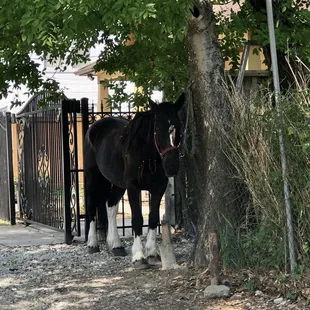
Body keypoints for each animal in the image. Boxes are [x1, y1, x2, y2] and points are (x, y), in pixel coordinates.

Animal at [83, 92, 185, 268]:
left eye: (178, 125)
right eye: (157, 128)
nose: (172, 166)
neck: (146, 154)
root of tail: (93, 127)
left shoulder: (158, 188)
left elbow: (153, 217)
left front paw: (152, 253)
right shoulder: (133, 188)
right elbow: (137, 219)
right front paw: (138, 257)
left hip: (118, 184)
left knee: (110, 206)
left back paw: (116, 245)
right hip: (93, 179)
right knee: (91, 207)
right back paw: (92, 244)